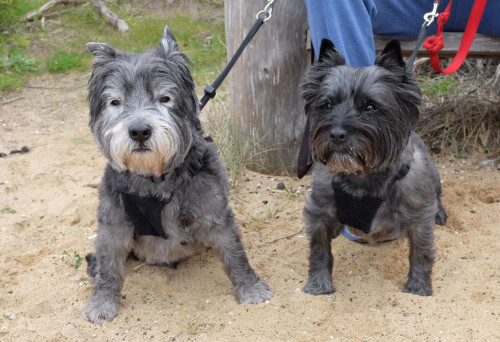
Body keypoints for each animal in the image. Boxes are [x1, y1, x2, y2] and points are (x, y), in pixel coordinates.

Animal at [82, 25, 274, 324]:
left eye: (164, 98)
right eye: (115, 102)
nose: (139, 131)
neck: (154, 178)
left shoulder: (215, 214)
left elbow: (235, 254)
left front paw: (250, 288)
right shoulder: (113, 223)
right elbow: (110, 265)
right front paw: (102, 302)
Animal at [302, 39, 448, 296]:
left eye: (370, 107)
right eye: (327, 105)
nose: (336, 134)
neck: (363, 177)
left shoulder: (419, 217)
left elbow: (421, 254)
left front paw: (419, 287)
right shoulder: (318, 211)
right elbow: (319, 250)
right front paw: (318, 284)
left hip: (433, 176)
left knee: (437, 195)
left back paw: (439, 212)